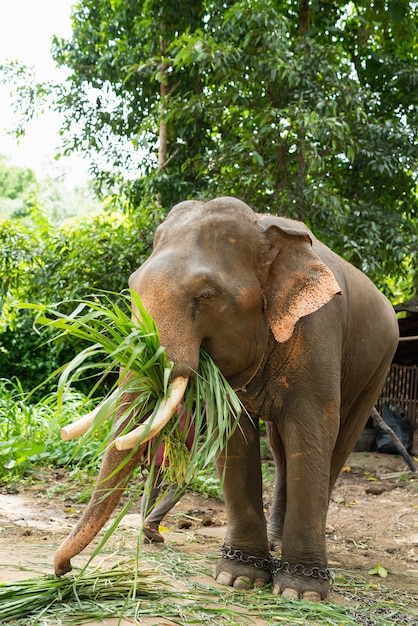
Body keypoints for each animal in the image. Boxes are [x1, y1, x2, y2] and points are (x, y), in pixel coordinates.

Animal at [53, 195, 398, 600]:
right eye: (132, 285)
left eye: (206, 296)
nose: (64, 571)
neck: (263, 227)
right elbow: (235, 435)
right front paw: (240, 579)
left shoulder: (318, 332)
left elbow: (311, 432)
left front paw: (300, 592)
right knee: (279, 449)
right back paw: (274, 541)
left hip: (378, 363)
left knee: (339, 441)